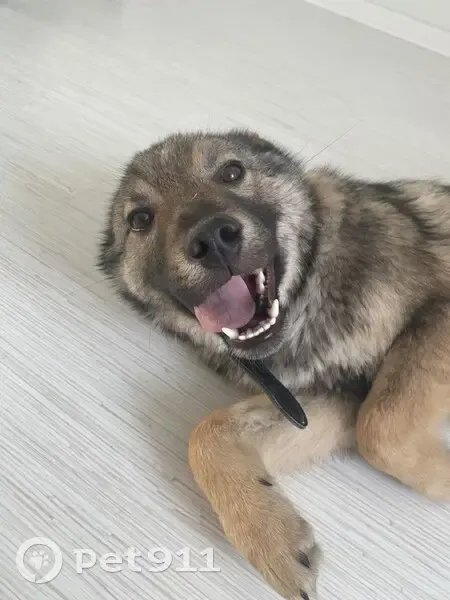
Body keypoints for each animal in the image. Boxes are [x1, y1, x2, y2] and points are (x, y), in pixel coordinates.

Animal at [99, 130, 450, 599]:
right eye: (140, 219)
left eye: (232, 172)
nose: (214, 238)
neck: (315, 282)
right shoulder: (329, 398)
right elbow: (207, 434)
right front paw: (268, 534)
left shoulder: (438, 312)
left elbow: (381, 427)